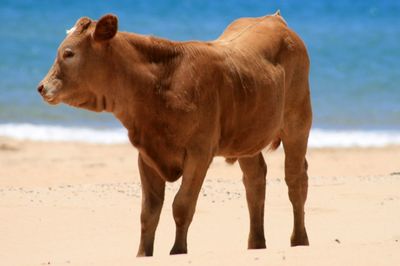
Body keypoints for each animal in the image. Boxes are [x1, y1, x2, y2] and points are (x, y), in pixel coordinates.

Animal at [37, 11, 312, 256]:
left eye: (68, 53)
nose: (41, 87)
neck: (161, 86)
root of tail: (274, 18)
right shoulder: (147, 155)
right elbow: (149, 213)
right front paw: (143, 254)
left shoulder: (200, 153)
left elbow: (182, 205)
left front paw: (178, 251)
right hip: (247, 137)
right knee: (255, 180)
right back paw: (256, 243)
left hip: (298, 123)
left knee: (295, 179)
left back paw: (299, 240)